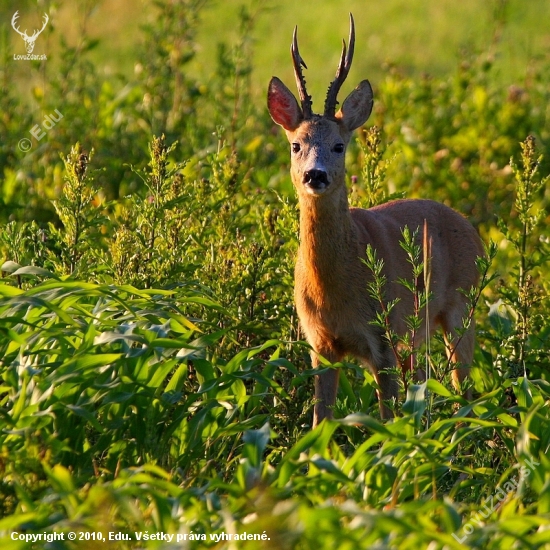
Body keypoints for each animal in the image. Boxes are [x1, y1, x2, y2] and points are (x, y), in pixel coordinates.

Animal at [270, 11, 486, 426]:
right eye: (295, 144)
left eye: (339, 145)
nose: (315, 175)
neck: (334, 291)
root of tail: (472, 229)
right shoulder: (319, 345)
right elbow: (320, 421)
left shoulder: (384, 339)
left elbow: (387, 423)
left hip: (461, 307)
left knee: (463, 387)